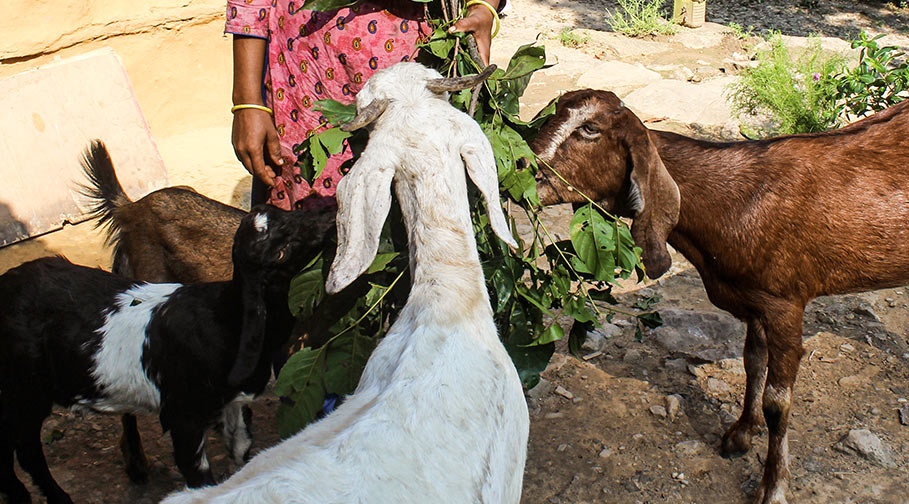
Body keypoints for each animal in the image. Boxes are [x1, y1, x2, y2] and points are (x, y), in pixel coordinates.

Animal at [0, 205, 336, 504]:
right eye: (281, 249)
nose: (330, 214)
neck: (226, 316)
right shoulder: (183, 416)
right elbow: (199, 477)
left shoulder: (230, 404)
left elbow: (241, 449)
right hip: (23, 393)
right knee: (25, 450)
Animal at [528, 88, 908, 502]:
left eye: (590, 129)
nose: (519, 163)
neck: (735, 200)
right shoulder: (756, 303)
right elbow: (752, 363)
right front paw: (740, 434)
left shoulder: (785, 304)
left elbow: (778, 402)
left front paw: (773, 486)